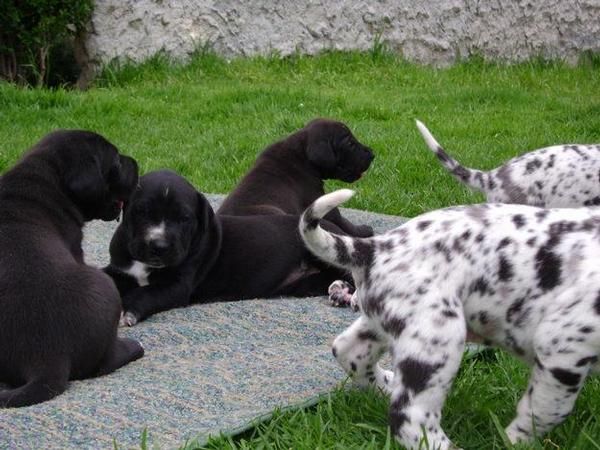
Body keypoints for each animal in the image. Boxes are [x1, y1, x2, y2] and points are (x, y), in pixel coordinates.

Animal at [0, 129, 144, 408]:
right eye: (116, 162)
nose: (135, 162)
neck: (44, 176)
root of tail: (48, 360)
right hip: (104, 286)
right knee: (105, 362)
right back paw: (133, 347)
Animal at [216, 118, 376, 239]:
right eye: (349, 144)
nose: (372, 153)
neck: (303, 154)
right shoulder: (318, 200)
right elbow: (342, 220)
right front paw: (363, 230)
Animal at [302, 188, 600, 448]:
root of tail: (375, 247)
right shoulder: (561, 348)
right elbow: (546, 409)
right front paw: (516, 440)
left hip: (388, 324)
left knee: (348, 350)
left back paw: (385, 385)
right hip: (437, 336)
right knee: (409, 416)